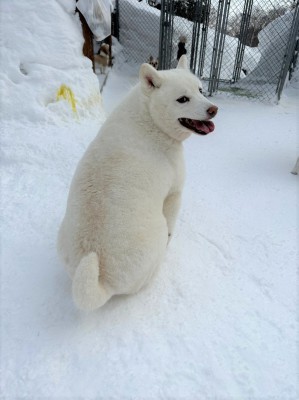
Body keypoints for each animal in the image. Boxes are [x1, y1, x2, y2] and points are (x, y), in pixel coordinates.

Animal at [57, 56, 219, 310]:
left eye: (200, 90)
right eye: (183, 99)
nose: (214, 109)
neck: (149, 117)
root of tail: (102, 280)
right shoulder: (174, 193)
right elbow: (173, 224)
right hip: (157, 233)